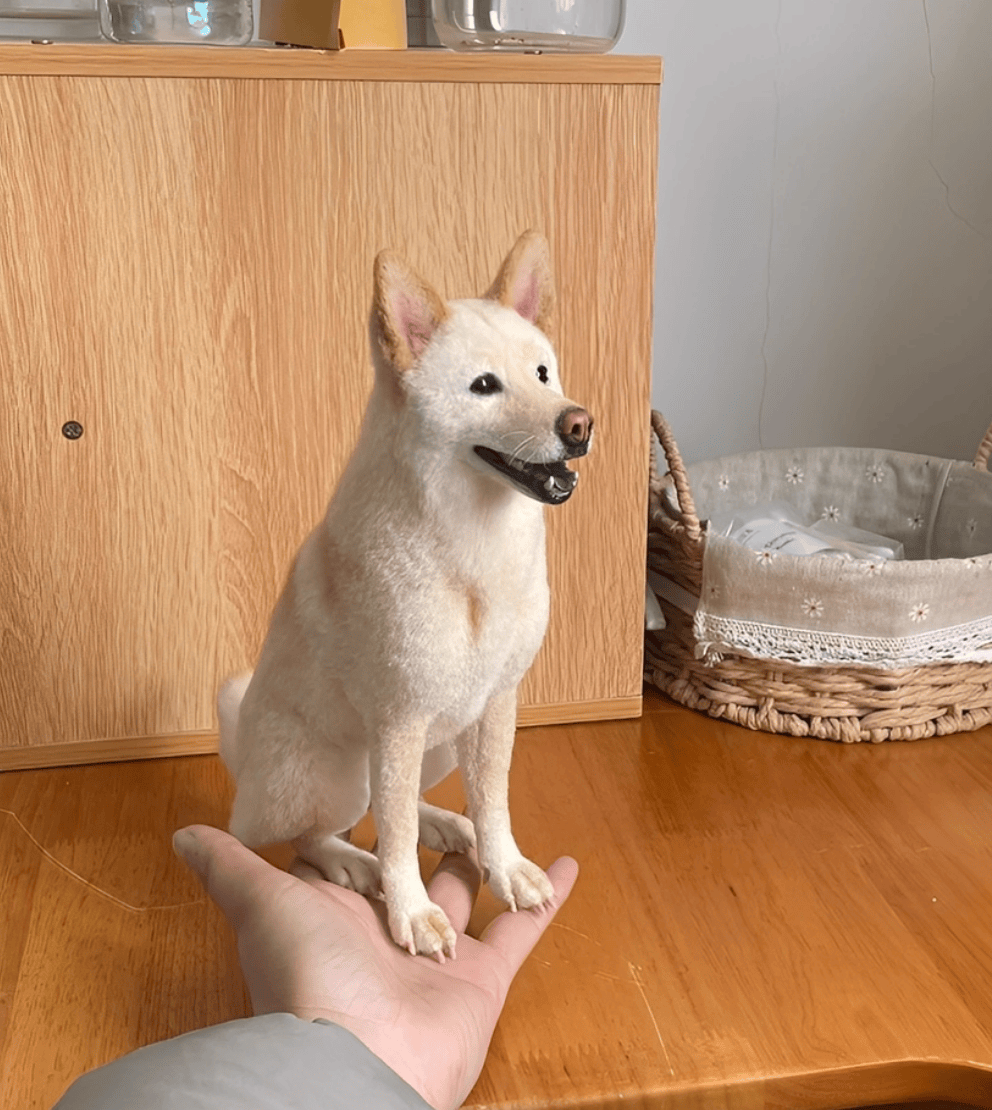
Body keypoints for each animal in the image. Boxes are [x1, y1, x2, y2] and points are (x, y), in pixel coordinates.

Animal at [218, 231, 593, 958]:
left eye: (543, 373)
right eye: (483, 386)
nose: (579, 424)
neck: (474, 548)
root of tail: (240, 757)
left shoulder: (493, 704)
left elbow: (492, 801)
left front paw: (505, 867)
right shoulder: (397, 719)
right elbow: (393, 838)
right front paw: (411, 911)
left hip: (442, 737)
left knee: (398, 802)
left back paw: (442, 824)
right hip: (332, 771)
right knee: (308, 835)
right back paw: (348, 863)